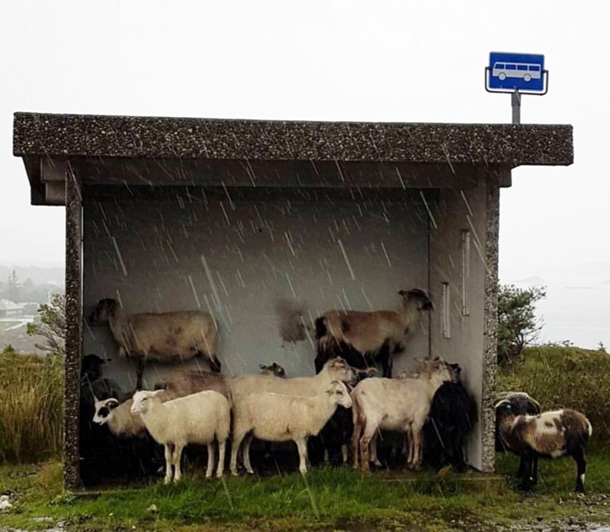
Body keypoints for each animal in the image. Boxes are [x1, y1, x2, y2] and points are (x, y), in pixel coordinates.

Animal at [85, 298, 218, 388]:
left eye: (99, 308)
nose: (90, 320)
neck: (124, 327)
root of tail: (212, 319)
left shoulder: (143, 352)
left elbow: (139, 373)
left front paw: (138, 390)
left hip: (207, 345)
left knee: (216, 365)